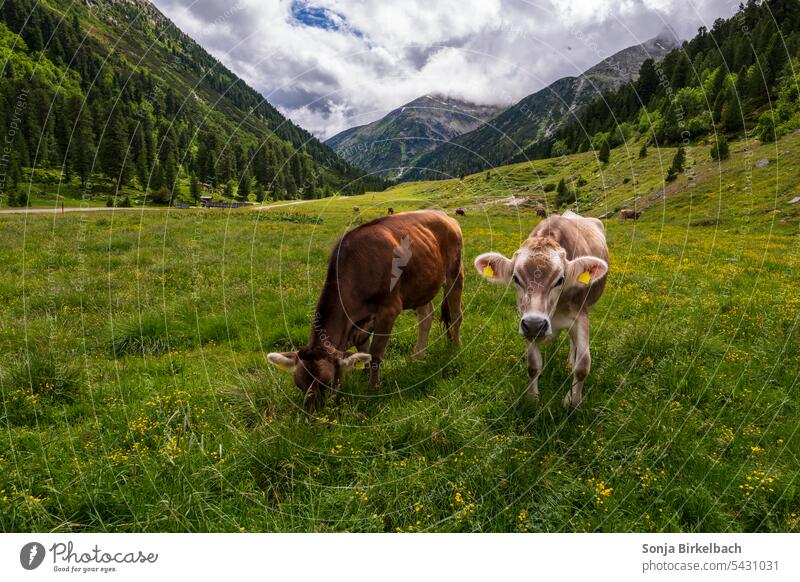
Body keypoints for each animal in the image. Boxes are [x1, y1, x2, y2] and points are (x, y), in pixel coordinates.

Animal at [268, 212, 462, 412]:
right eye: (299, 384)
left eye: (327, 383)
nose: (312, 414)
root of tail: (444, 215)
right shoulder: (358, 324)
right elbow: (364, 351)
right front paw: (364, 374)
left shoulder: (388, 311)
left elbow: (375, 353)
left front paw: (372, 388)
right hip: (422, 286)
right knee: (426, 317)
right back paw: (417, 357)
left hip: (454, 274)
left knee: (456, 314)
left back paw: (455, 348)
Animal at [476, 211, 608, 410]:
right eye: (515, 278)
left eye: (560, 279)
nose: (535, 325)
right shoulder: (526, 321)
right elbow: (533, 365)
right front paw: (532, 399)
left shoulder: (581, 314)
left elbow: (583, 365)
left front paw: (573, 402)